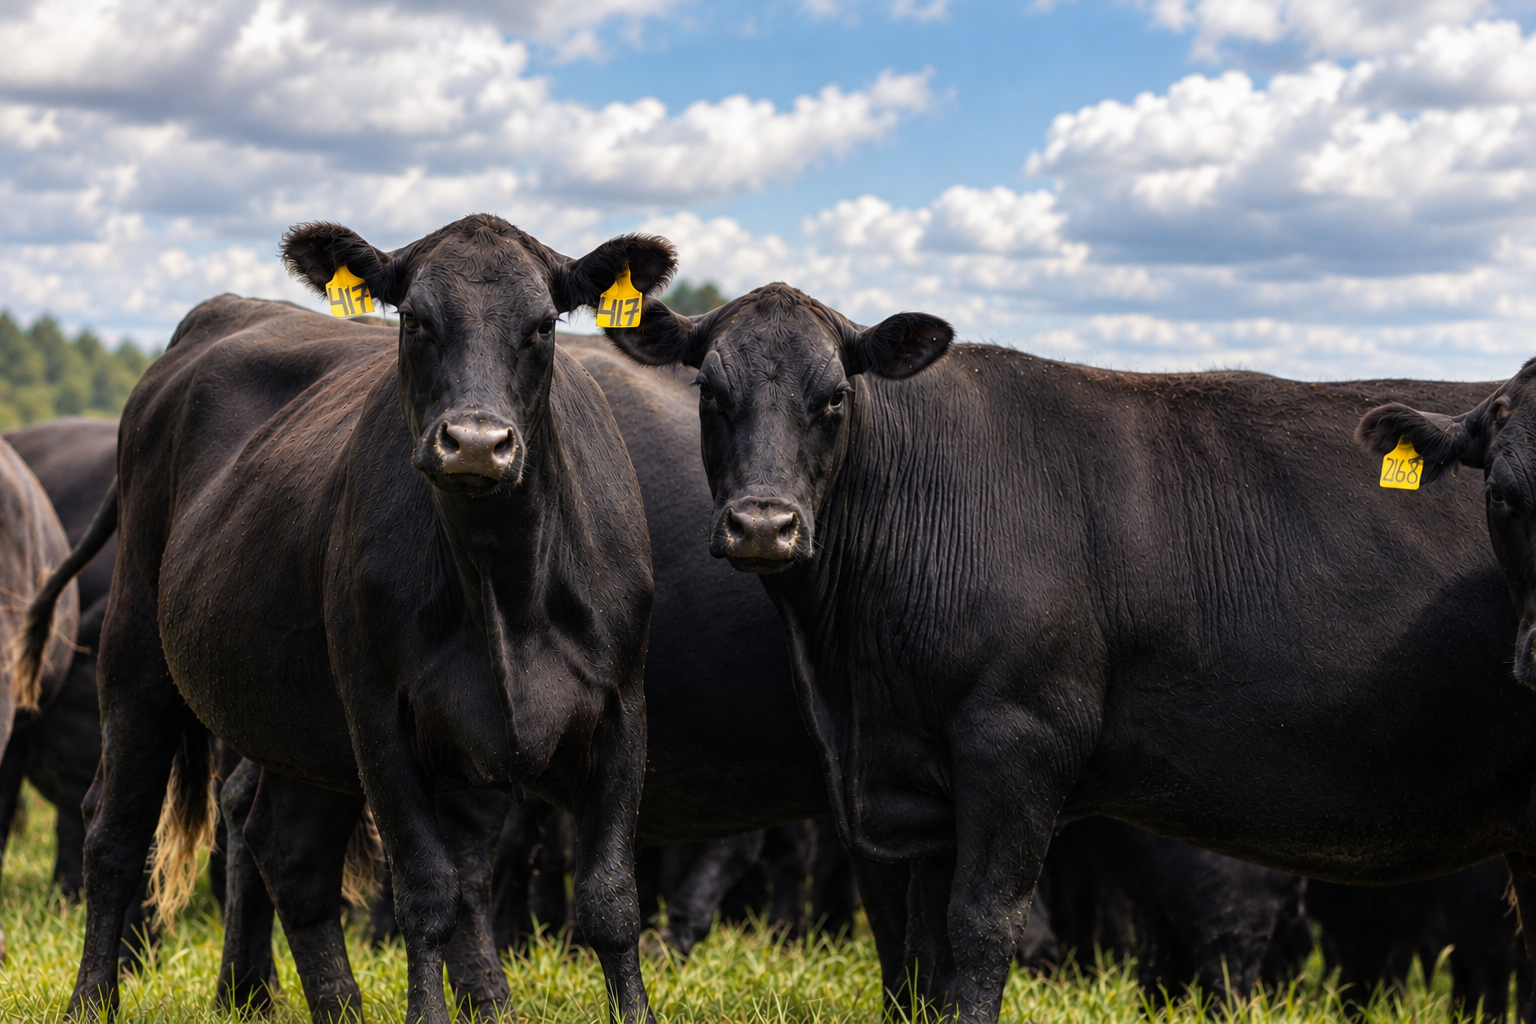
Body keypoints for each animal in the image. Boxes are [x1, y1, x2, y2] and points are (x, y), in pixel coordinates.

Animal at [20, 214, 673, 1024]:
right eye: (416, 320)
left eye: (544, 324)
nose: (476, 443)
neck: (503, 582)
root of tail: (221, 314)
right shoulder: (381, 717)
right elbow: (427, 892)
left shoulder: (622, 712)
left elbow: (609, 900)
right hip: (139, 646)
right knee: (113, 827)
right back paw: (92, 998)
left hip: (299, 713)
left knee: (286, 846)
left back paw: (333, 1005)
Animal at [601, 280, 1536, 1024]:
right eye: (709, 393)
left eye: (833, 397)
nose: (764, 525)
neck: (852, 681)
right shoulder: (902, 781)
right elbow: (915, 948)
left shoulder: (1019, 738)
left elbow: (979, 930)